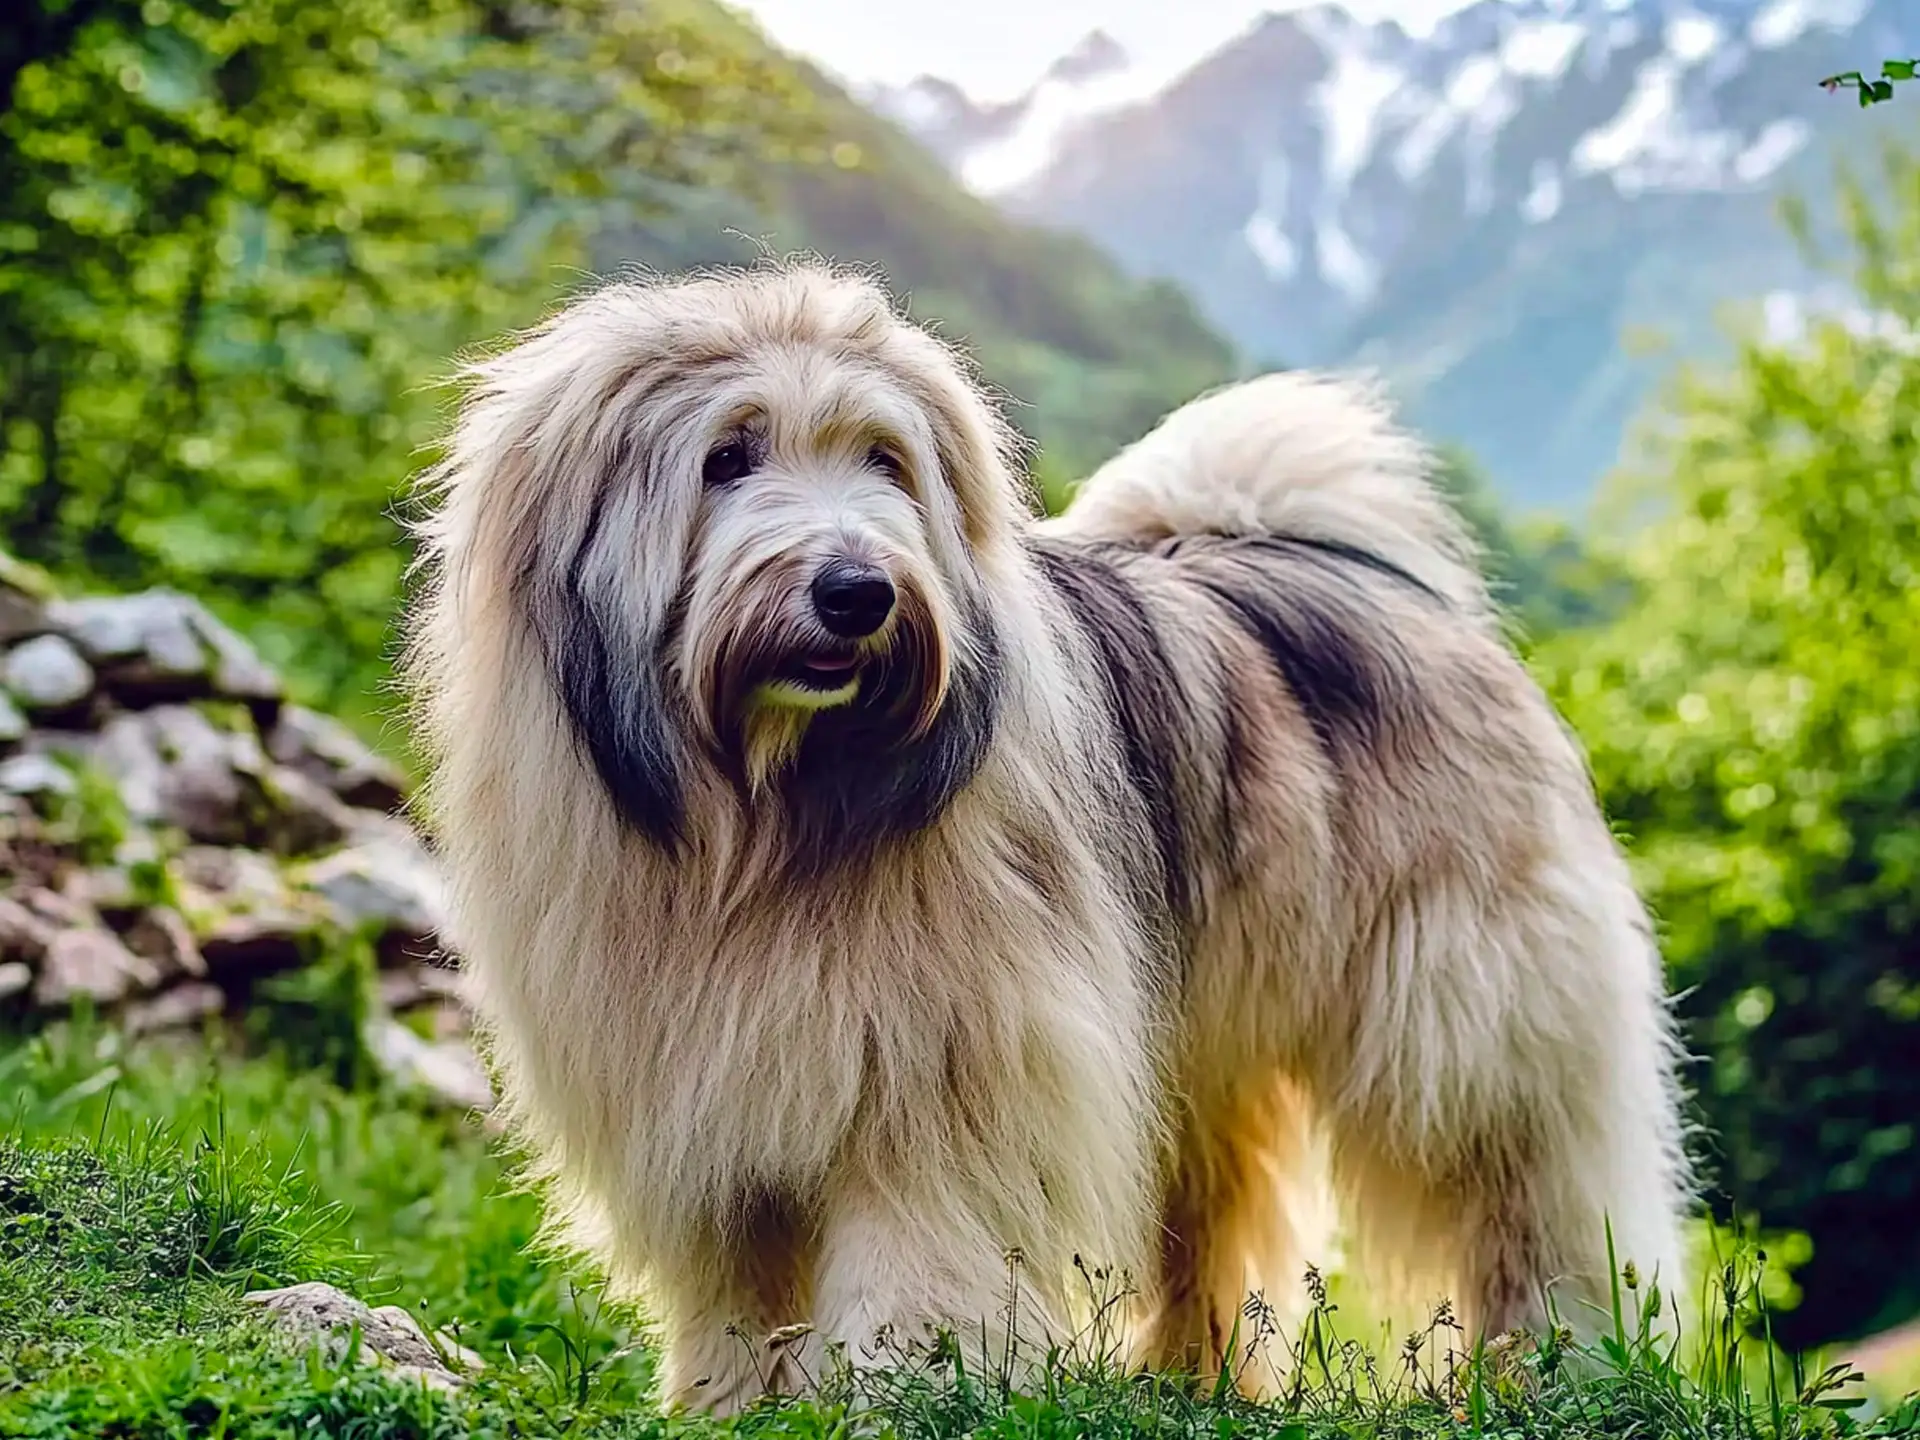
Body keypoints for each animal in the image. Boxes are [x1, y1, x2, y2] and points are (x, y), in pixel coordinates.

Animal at [397, 263, 1689, 1420]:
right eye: (727, 457)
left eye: (884, 460)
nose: (859, 593)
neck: (766, 824)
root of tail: (1351, 571)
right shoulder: (699, 1100)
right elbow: (737, 1279)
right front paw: (727, 1400)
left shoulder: (944, 1068)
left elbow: (918, 1249)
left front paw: (900, 1388)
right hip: (1197, 1040)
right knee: (1212, 1210)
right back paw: (1188, 1381)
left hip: (1473, 1022)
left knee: (1530, 1196)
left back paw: (1559, 1369)